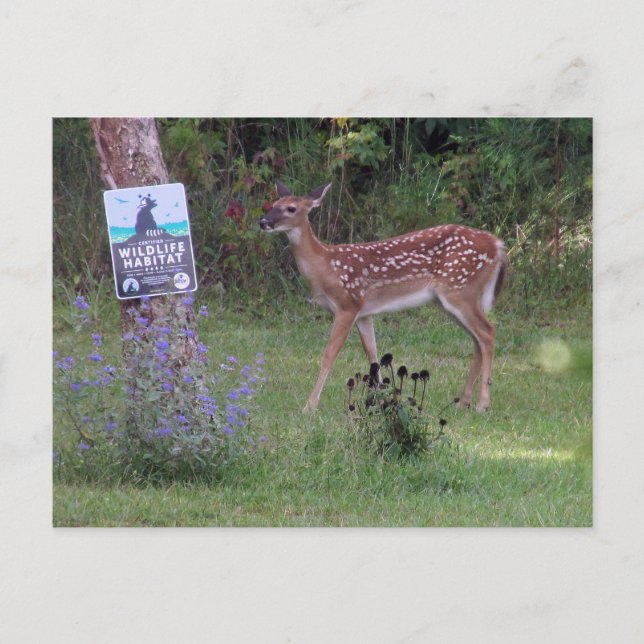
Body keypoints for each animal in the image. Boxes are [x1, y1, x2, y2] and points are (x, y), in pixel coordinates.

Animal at [259, 180, 506, 413]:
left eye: (291, 208)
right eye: (273, 205)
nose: (263, 222)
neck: (326, 265)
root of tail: (497, 245)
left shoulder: (347, 304)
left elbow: (329, 353)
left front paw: (309, 406)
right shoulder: (363, 312)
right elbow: (373, 354)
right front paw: (382, 400)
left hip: (460, 291)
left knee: (488, 333)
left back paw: (482, 404)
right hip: (453, 299)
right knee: (477, 339)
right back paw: (463, 402)